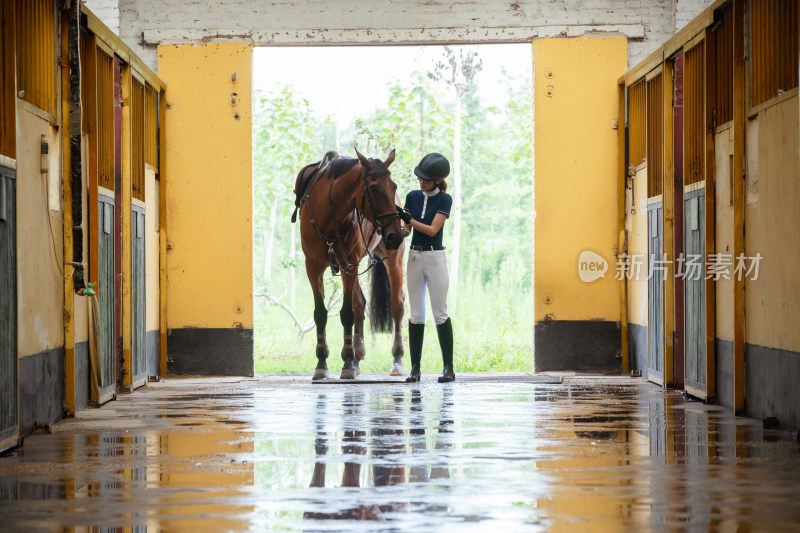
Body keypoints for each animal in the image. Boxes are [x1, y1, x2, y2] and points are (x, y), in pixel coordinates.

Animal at [294, 148, 406, 376]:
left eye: (394, 186)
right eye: (373, 188)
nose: (395, 235)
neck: (329, 215)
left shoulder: (349, 264)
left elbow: (346, 313)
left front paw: (346, 362)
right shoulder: (313, 267)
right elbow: (321, 313)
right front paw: (322, 363)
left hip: (392, 260)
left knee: (397, 305)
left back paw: (397, 358)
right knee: (360, 304)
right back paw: (356, 356)